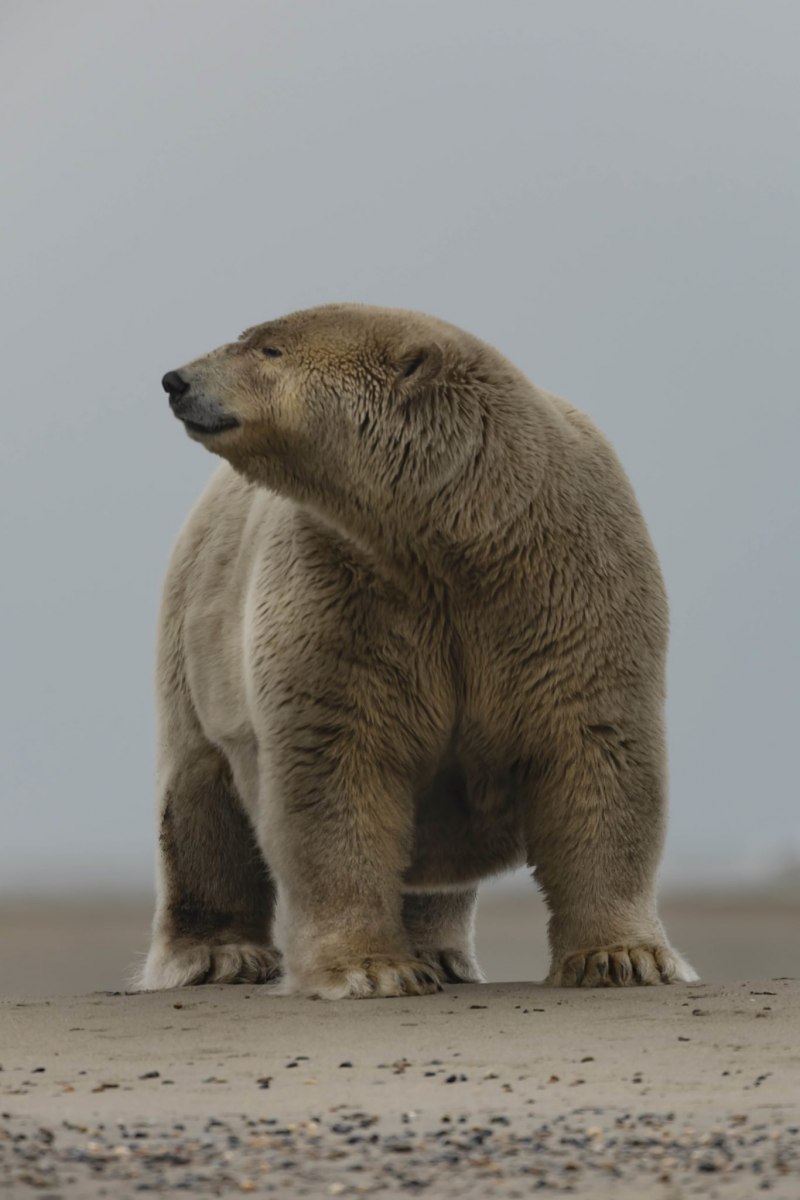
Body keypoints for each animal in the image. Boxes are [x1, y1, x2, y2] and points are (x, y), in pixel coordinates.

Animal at [139, 302, 697, 998]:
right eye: (252, 338)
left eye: (268, 349)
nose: (176, 380)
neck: (460, 536)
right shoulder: (343, 593)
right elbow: (336, 765)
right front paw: (370, 968)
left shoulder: (568, 581)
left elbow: (596, 750)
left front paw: (623, 957)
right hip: (197, 634)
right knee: (199, 802)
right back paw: (218, 956)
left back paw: (442, 953)